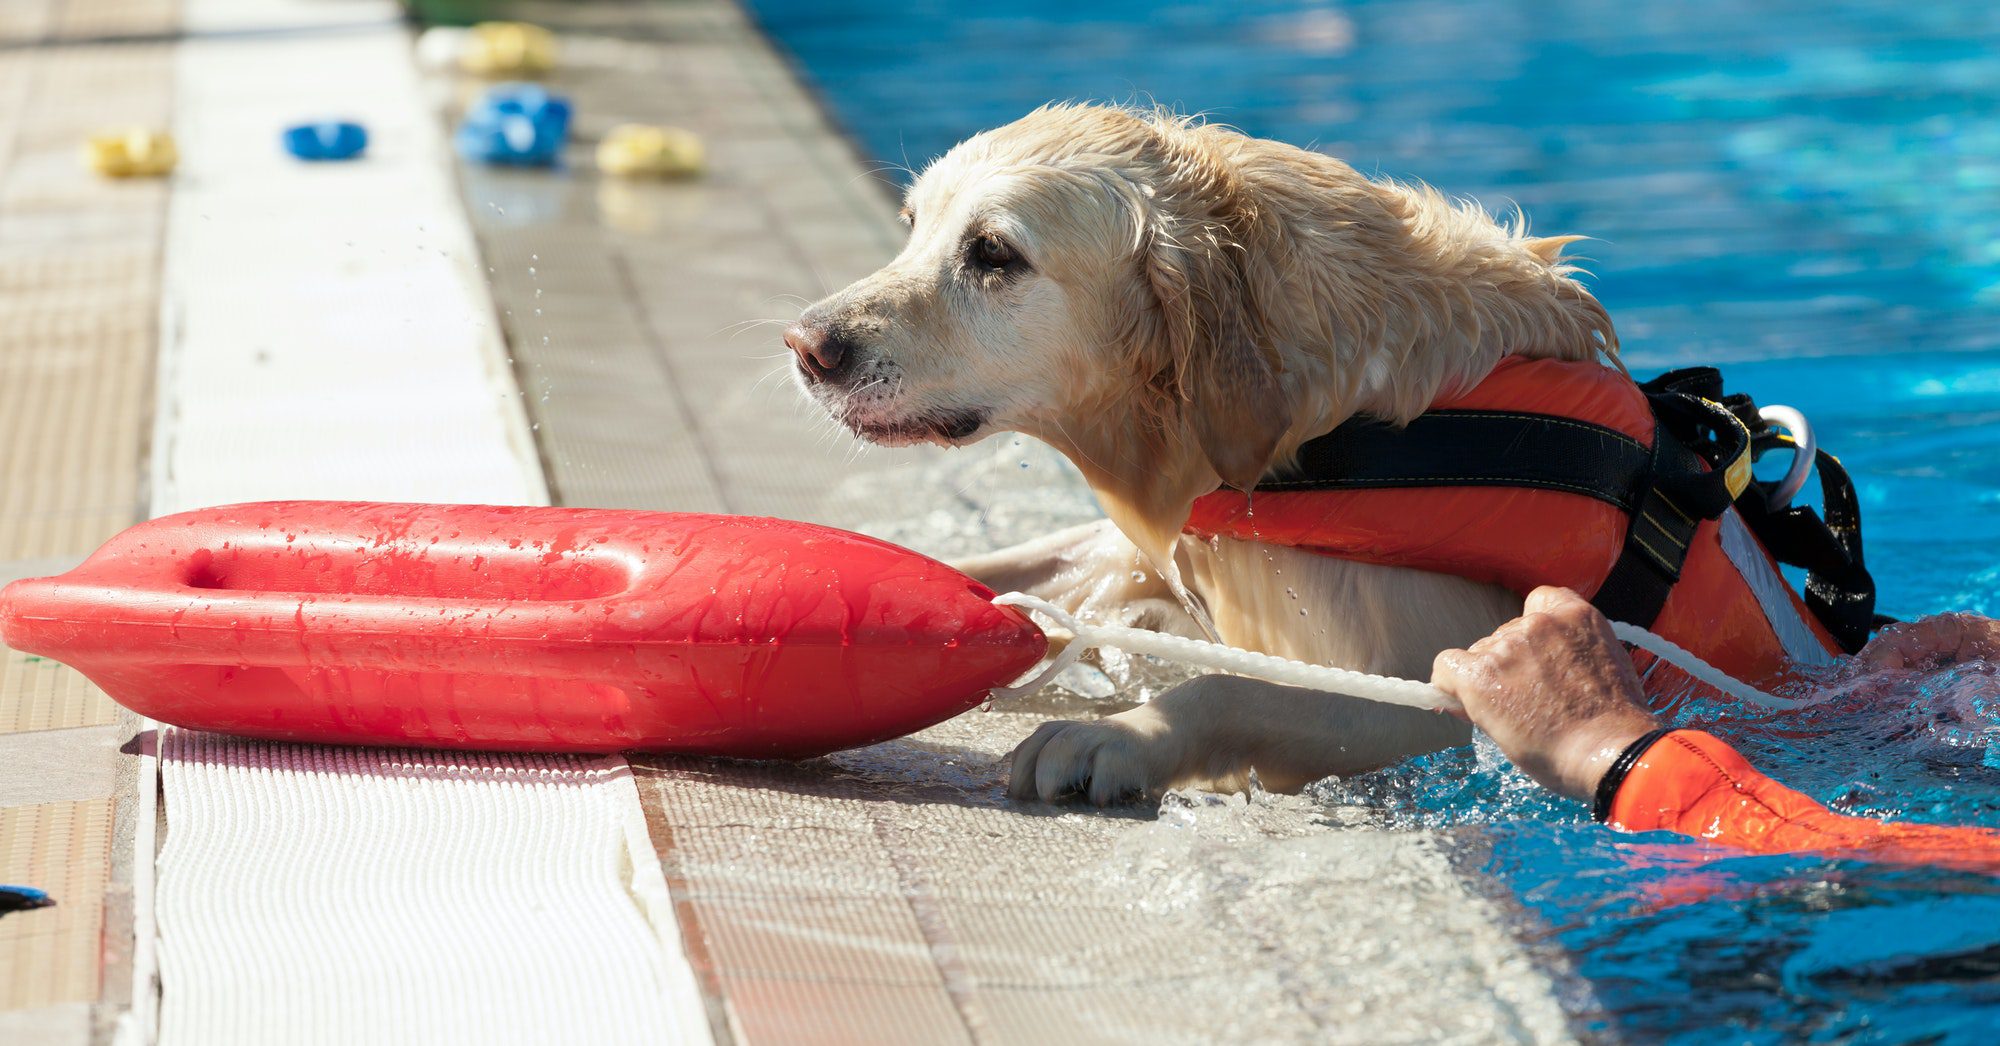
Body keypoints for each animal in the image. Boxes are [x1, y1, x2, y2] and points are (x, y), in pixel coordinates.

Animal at [788, 102, 1616, 808]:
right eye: (912, 224)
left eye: (993, 252)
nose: (804, 345)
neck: (1318, 419)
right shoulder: (1148, 545)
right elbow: (1001, 571)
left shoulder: (1428, 696)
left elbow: (1231, 688)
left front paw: (1107, 738)